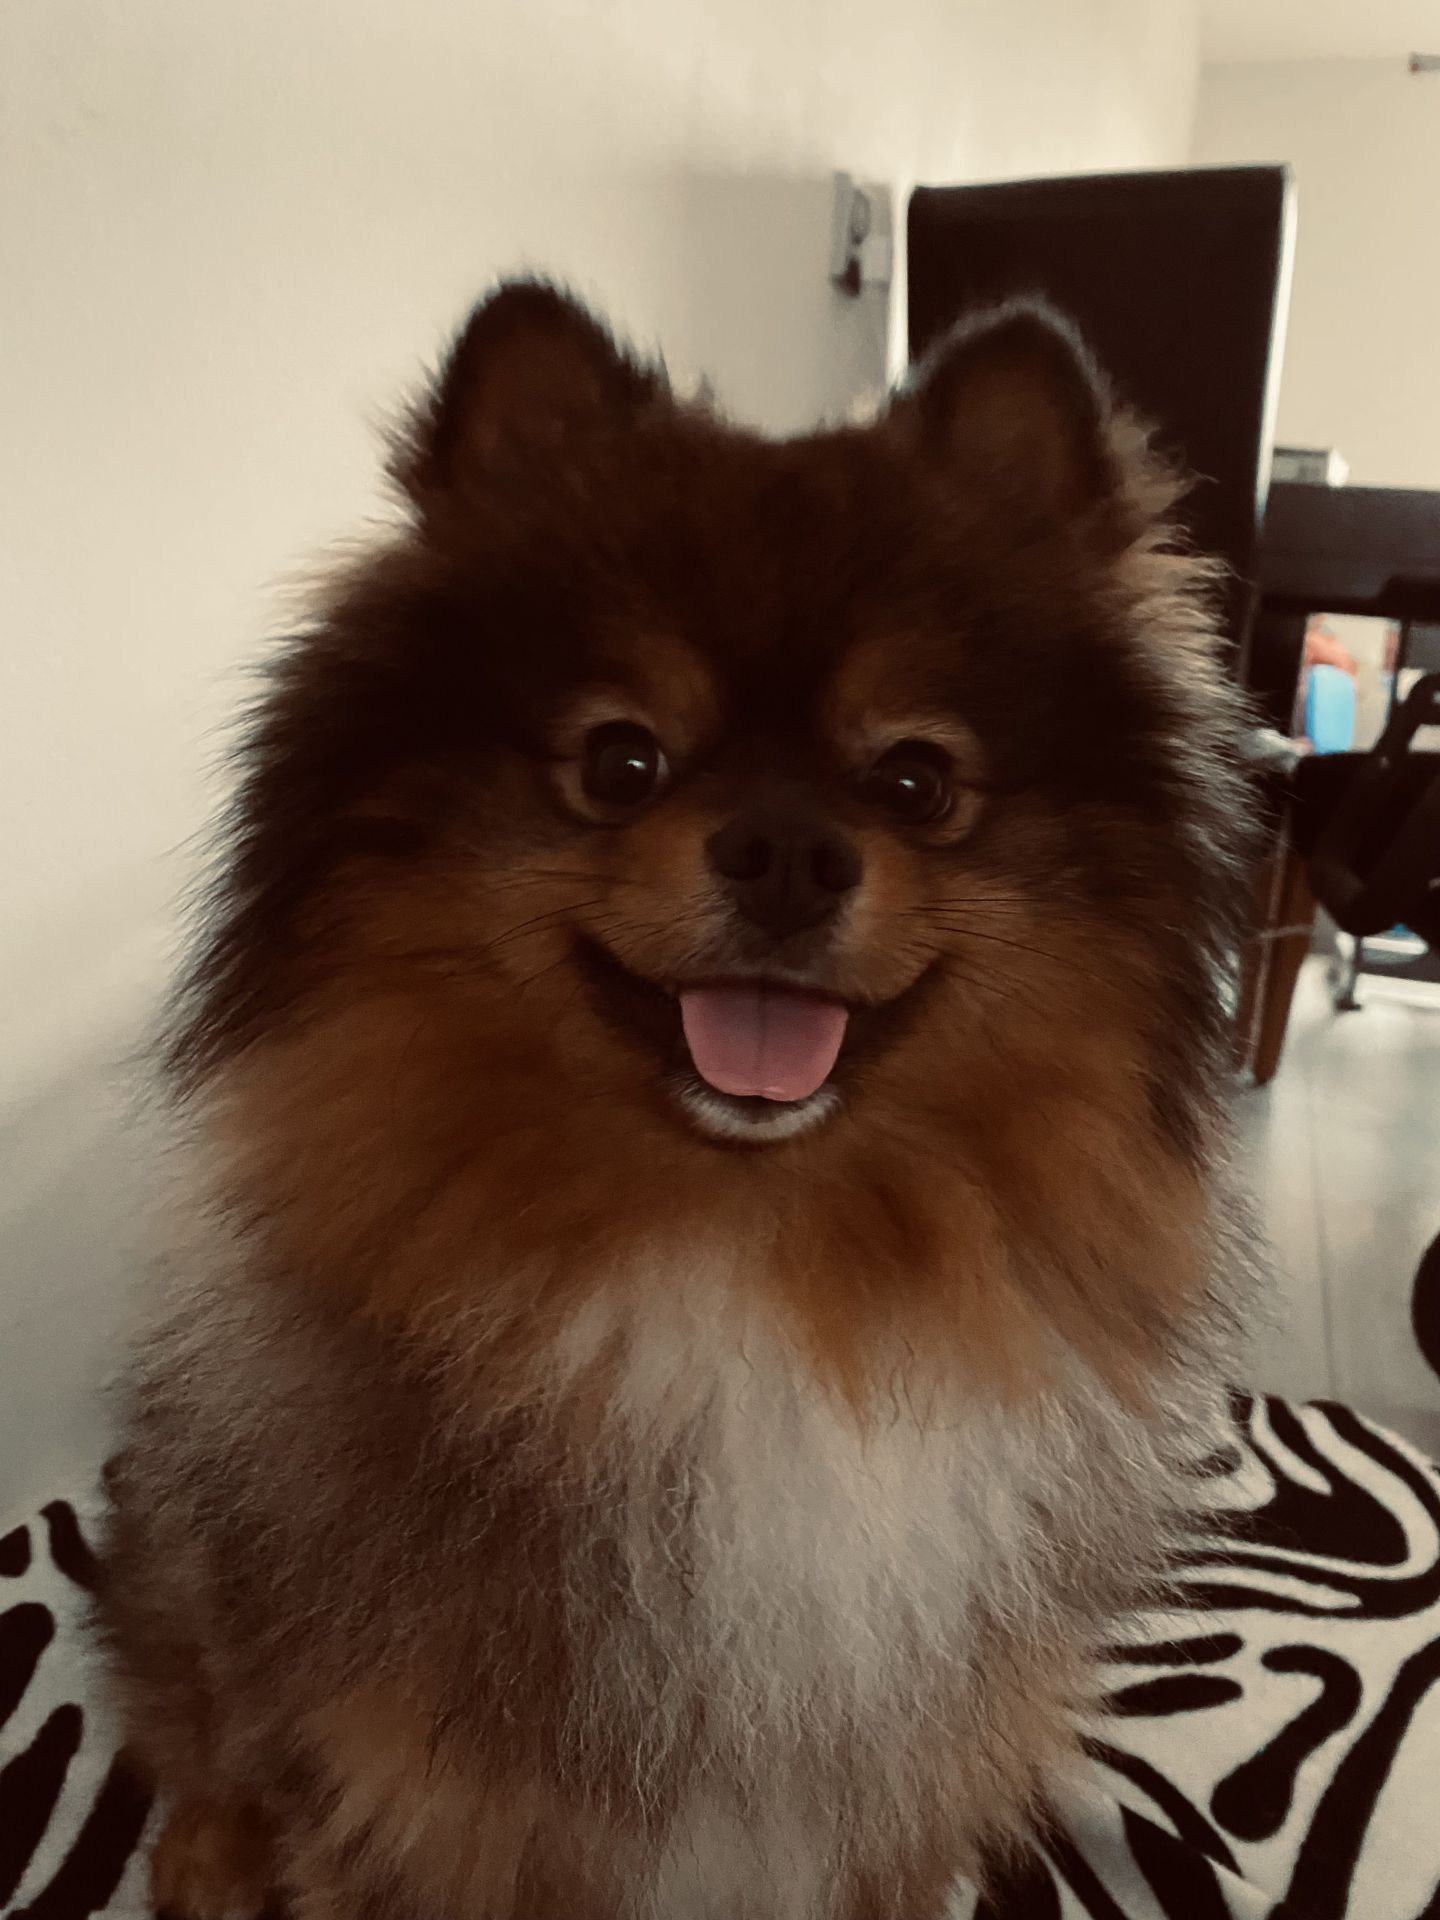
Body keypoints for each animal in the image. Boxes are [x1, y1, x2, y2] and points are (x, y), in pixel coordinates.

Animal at [99, 280, 1254, 1919]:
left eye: (916, 784)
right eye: (620, 761)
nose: (786, 852)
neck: (748, 1253)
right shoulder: (418, 1790)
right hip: (194, 1530)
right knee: (188, 1688)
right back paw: (206, 1848)